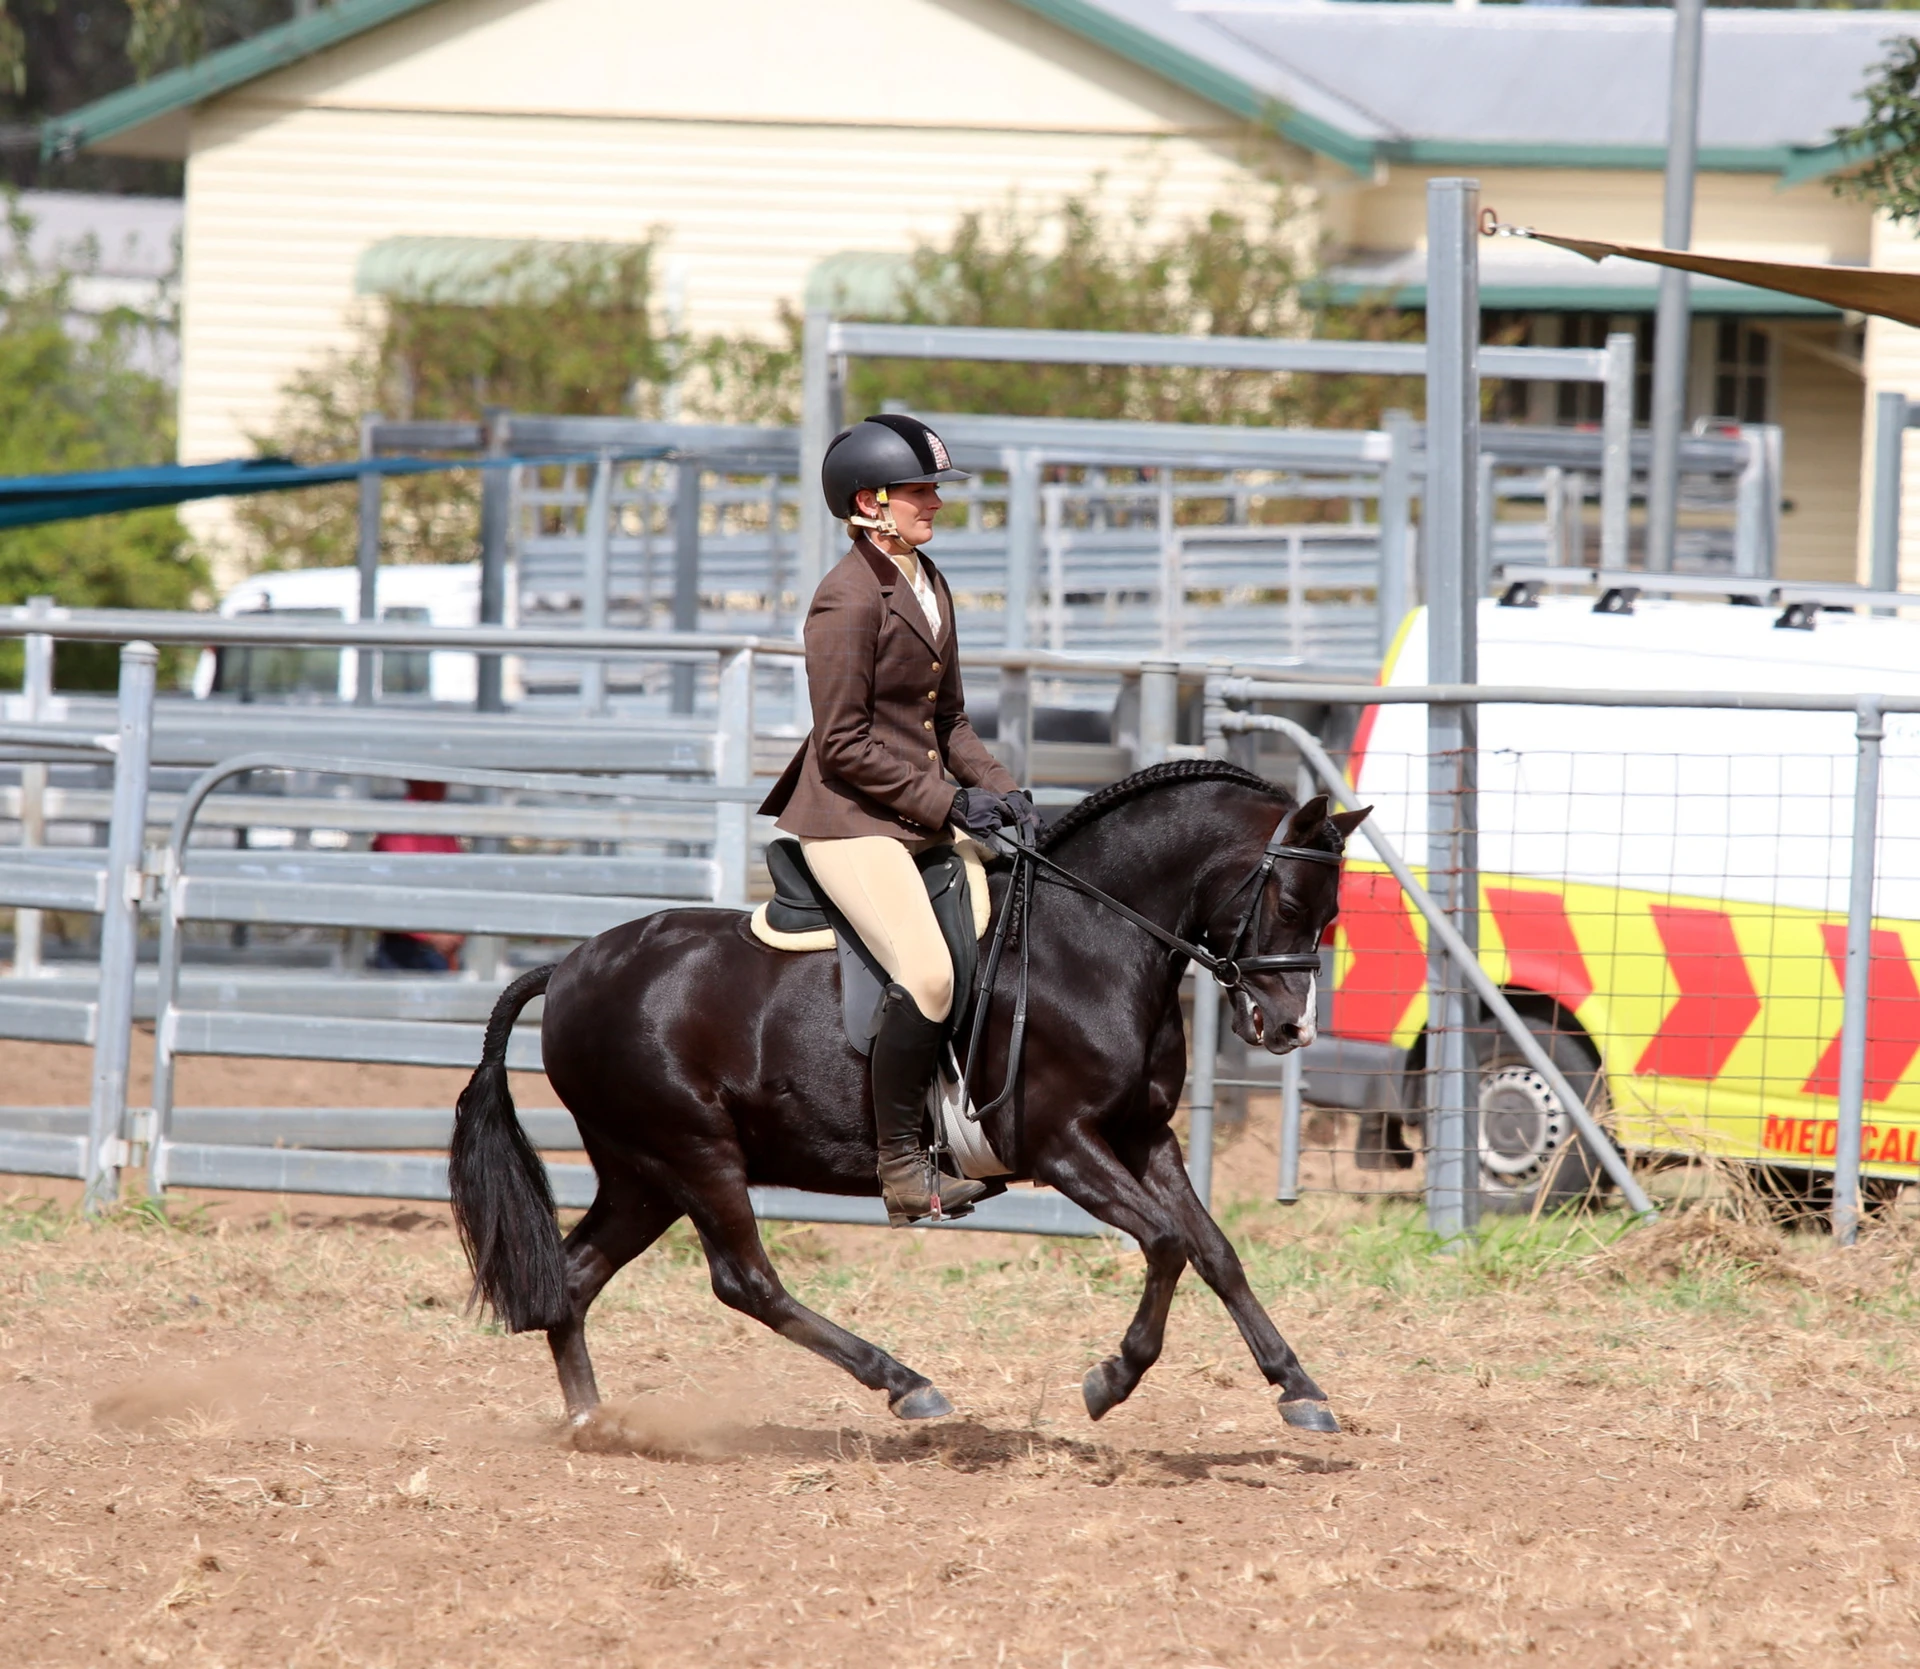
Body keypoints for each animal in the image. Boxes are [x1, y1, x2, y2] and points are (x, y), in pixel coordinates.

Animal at [448, 759, 1368, 1434]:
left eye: (1329, 913)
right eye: (1291, 901)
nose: (1289, 1028)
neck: (1089, 942)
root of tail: (568, 966)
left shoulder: (1144, 1136)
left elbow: (1215, 1250)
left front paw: (1299, 1388)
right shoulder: (1062, 1145)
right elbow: (1168, 1242)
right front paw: (1110, 1378)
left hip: (642, 1175)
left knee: (573, 1277)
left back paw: (592, 1422)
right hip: (692, 1153)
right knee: (746, 1280)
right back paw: (906, 1383)